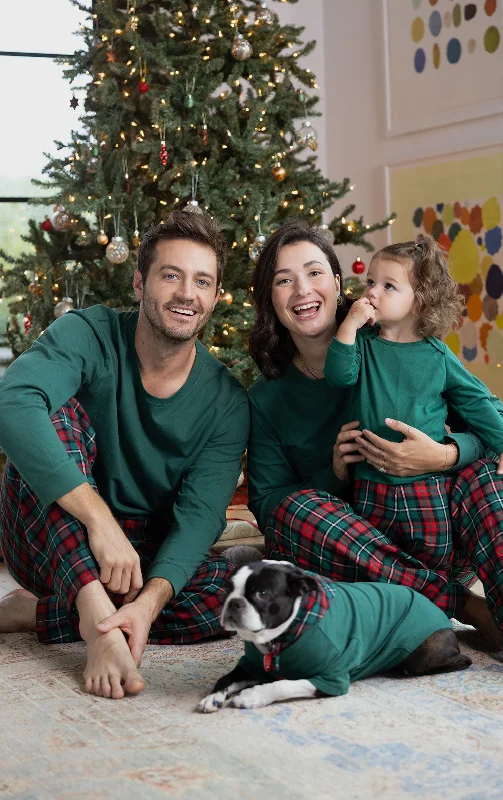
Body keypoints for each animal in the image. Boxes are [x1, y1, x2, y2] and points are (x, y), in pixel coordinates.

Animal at [198, 564, 472, 712]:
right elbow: (225, 679)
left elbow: (283, 685)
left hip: (423, 655)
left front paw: (252, 696)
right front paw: (212, 697)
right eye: (227, 589)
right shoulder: (250, 666)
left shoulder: (331, 679)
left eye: (262, 594)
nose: (234, 603)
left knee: (461, 661)